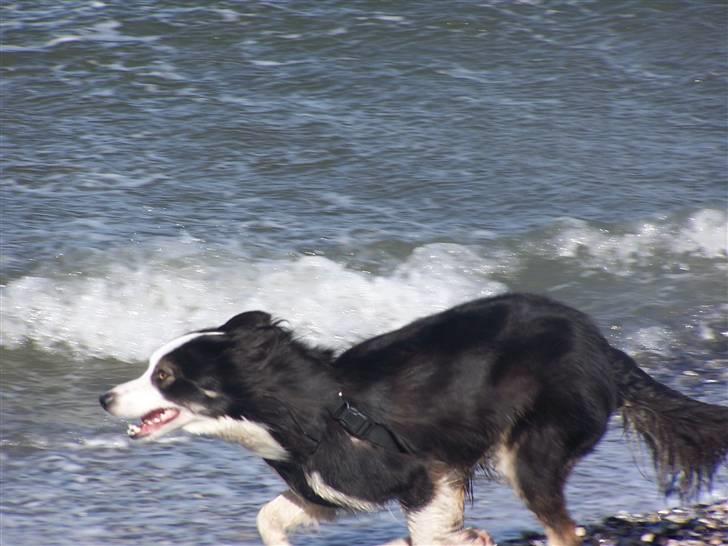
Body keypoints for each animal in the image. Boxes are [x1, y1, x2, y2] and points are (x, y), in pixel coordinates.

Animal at [98, 294, 728, 544]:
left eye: (165, 376)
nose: (104, 398)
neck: (299, 409)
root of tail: (604, 349)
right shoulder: (325, 489)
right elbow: (268, 518)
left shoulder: (425, 472)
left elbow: (428, 530)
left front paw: (466, 537)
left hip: (530, 449)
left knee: (565, 531)